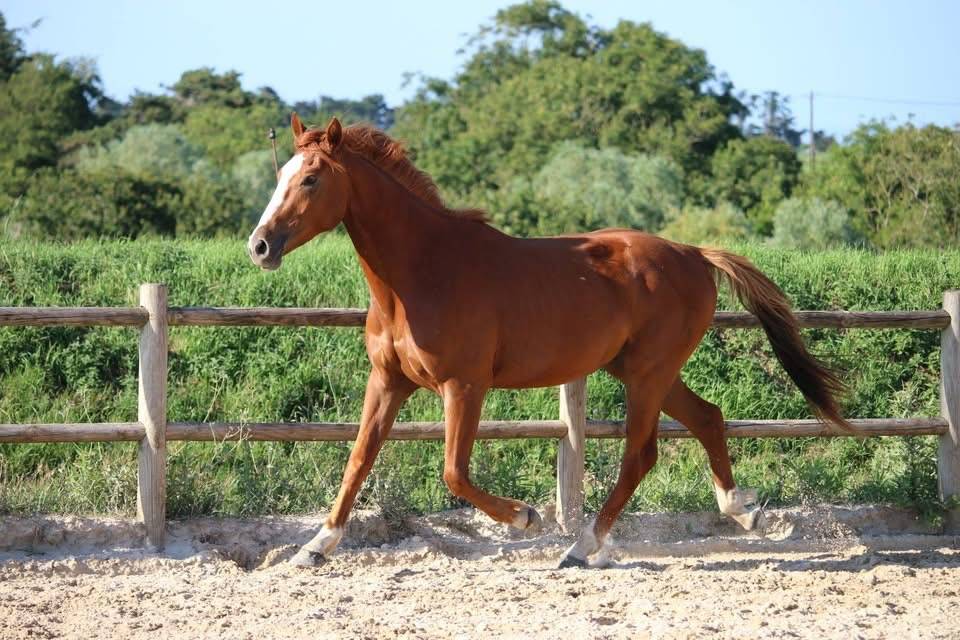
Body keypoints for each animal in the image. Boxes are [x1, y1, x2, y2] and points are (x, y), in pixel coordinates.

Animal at [247, 114, 850, 568]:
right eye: (281, 175)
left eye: (311, 180)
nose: (260, 246)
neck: (419, 273)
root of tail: (694, 254)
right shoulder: (389, 381)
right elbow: (358, 459)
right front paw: (315, 546)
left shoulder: (464, 385)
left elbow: (453, 471)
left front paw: (525, 517)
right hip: (640, 370)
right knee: (708, 418)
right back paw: (741, 510)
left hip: (648, 374)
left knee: (642, 453)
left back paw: (583, 547)